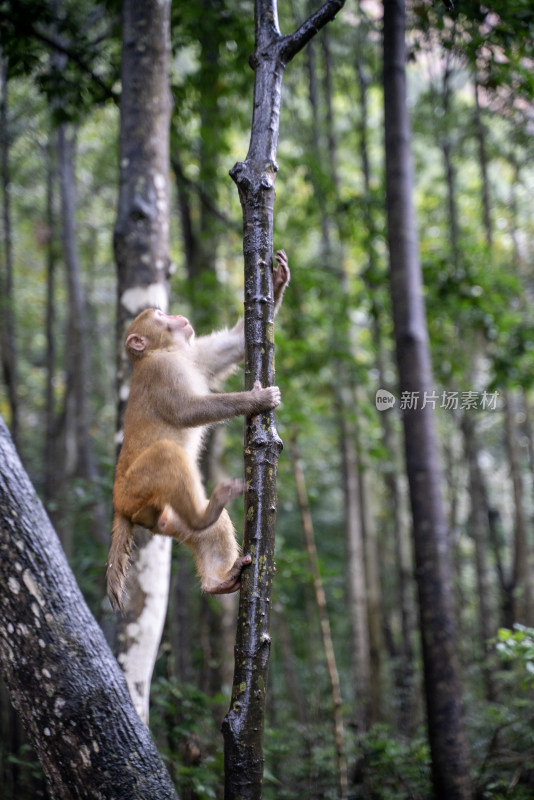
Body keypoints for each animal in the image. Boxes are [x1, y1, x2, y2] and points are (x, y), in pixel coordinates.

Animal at [107, 250, 292, 612]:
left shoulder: (191, 355)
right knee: (166, 455)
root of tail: (120, 506)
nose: (177, 315)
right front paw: (256, 399)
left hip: (160, 515)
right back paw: (203, 516)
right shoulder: (162, 371)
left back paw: (217, 578)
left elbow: (232, 346)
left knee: (199, 529)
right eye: (160, 315)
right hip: (136, 489)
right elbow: (188, 411)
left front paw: (277, 280)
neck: (164, 350)